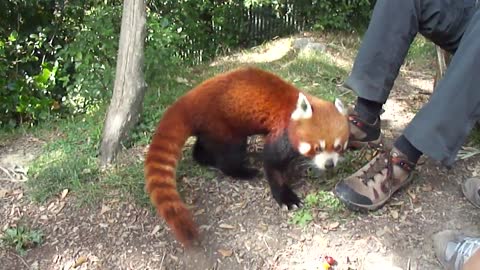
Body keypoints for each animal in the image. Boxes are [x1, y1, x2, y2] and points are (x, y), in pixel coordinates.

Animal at [142, 66, 348, 248]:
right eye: (318, 148)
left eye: (338, 147)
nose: (329, 164)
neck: (291, 112)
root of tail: (189, 100)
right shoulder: (280, 132)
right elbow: (272, 163)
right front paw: (286, 198)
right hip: (225, 126)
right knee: (230, 155)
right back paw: (243, 171)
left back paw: (205, 158)